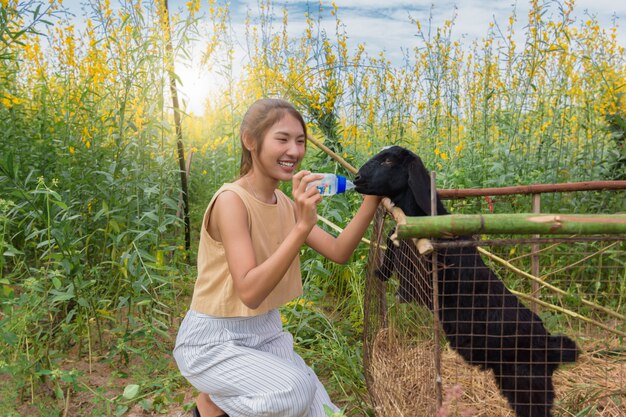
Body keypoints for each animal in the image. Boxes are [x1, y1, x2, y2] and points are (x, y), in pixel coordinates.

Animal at [354, 146, 576, 416]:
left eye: (388, 161)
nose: (356, 179)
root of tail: (551, 345)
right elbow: (393, 237)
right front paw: (382, 271)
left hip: (526, 381)